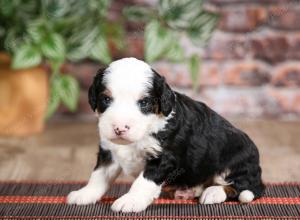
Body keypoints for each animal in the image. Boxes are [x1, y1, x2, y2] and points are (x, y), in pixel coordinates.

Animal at [67, 57, 264, 212]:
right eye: (106, 99)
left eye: (144, 102)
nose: (120, 128)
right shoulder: (108, 151)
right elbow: (99, 175)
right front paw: (85, 194)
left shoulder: (164, 157)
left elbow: (144, 181)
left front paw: (131, 200)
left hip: (237, 162)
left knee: (240, 187)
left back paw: (214, 192)